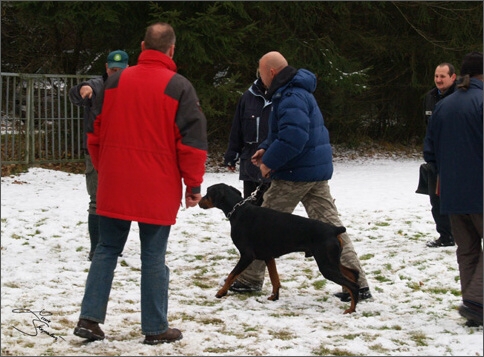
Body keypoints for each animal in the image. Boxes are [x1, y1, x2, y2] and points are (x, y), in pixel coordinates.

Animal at [197, 182, 360, 312]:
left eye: (208, 192)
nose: (198, 201)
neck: (238, 211)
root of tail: (335, 229)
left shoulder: (247, 255)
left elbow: (232, 274)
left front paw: (221, 292)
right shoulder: (268, 257)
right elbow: (274, 278)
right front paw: (274, 297)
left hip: (326, 265)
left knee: (352, 285)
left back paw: (351, 309)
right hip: (331, 261)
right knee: (354, 273)